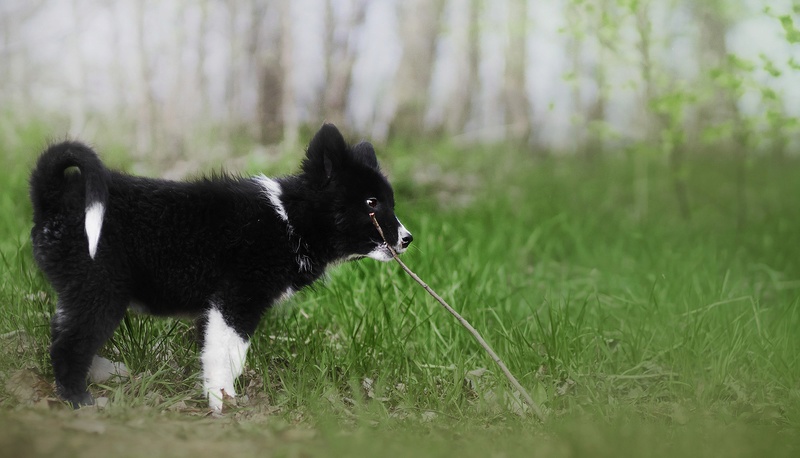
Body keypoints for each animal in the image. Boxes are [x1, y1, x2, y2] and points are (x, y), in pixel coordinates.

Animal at [29, 122, 412, 412]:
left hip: (82, 290)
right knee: (70, 345)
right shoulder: (236, 302)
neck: (290, 219)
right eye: (371, 203)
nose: (407, 239)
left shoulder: (214, 310)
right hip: (100, 290)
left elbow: (213, 351)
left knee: (64, 332)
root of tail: (52, 197)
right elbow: (228, 354)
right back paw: (80, 401)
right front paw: (223, 401)